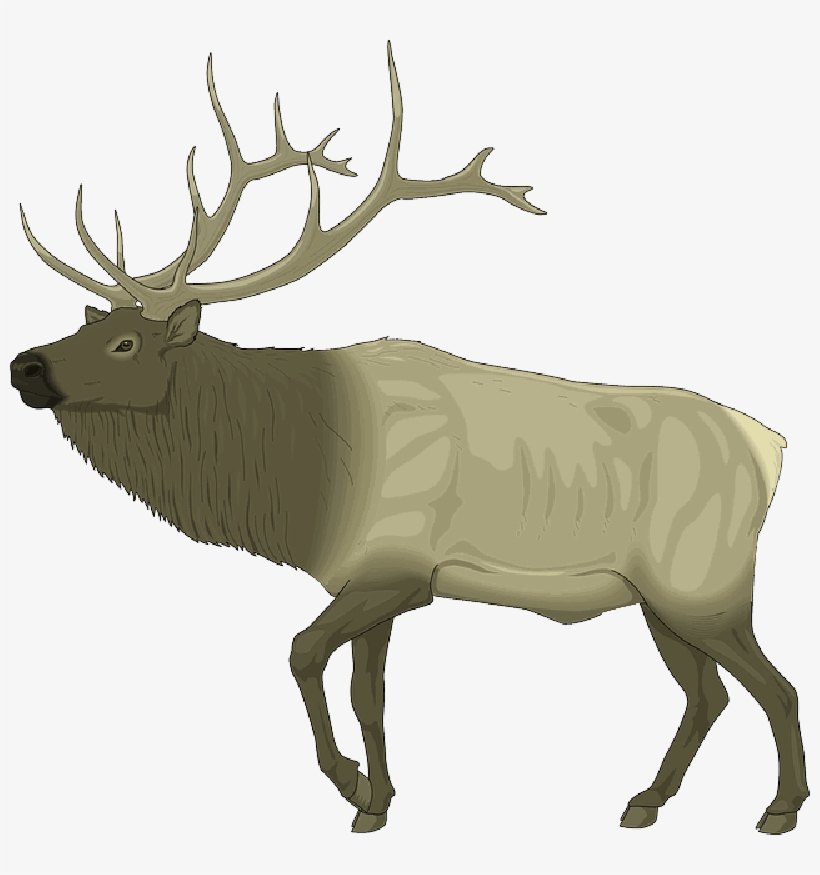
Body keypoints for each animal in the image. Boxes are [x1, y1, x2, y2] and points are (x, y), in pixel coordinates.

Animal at [9, 43, 808, 836]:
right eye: (85, 326)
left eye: (125, 343)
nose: (25, 366)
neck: (301, 480)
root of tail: (772, 449)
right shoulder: (371, 582)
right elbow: (370, 695)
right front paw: (378, 800)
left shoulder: (393, 570)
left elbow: (301, 654)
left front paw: (350, 783)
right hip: (660, 599)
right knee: (709, 694)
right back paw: (646, 801)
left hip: (702, 584)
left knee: (775, 685)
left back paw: (779, 808)